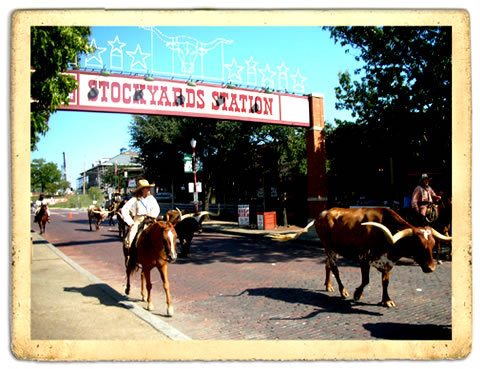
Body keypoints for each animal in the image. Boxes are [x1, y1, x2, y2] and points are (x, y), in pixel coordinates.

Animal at [268, 206, 452, 306]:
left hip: (331, 248)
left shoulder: (388, 262)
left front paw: (386, 300)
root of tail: (323, 214)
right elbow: (366, 280)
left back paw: (328, 286)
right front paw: (357, 294)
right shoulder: (364, 258)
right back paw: (343, 291)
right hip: (329, 247)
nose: (431, 268)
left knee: (327, 265)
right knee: (334, 267)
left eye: (432, 245)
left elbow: (385, 282)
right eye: (418, 245)